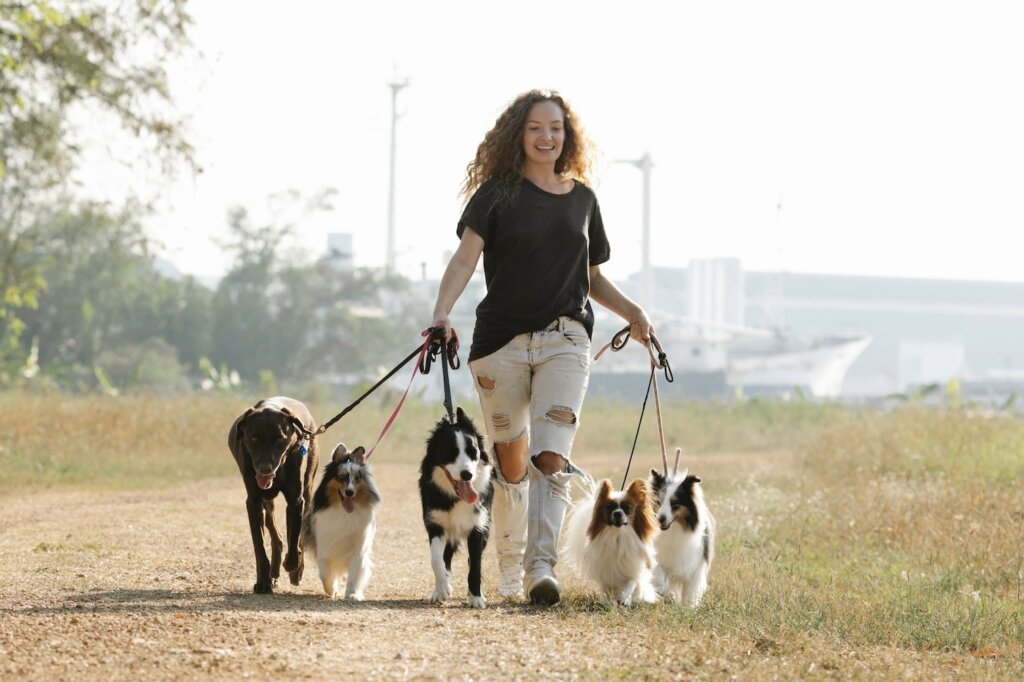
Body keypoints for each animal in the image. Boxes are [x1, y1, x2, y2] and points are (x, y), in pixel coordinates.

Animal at [229, 395, 317, 593]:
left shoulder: (296, 500)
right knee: (277, 537)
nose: (265, 469)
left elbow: (295, 538)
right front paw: (263, 582)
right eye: (253, 438)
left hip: (307, 488)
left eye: (279, 439)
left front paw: (293, 565)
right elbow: (259, 546)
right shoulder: (254, 502)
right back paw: (273, 575)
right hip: (267, 501)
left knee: (295, 534)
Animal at [303, 440, 385, 593]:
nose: (349, 492)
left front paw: (352, 594)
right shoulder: (324, 545)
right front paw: (332, 590)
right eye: (341, 477)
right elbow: (325, 573)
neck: (344, 512)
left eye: (357, 478)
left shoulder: (359, 549)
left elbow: (354, 575)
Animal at [417, 405, 493, 606]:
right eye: (450, 452)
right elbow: (437, 560)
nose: (467, 475)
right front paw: (442, 589)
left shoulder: (478, 527)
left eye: (473, 451)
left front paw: (476, 598)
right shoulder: (436, 524)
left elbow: (475, 565)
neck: (456, 497)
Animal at [651, 462, 716, 606]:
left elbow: (692, 588)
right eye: (659, 501)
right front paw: (665, 591)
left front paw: (690, 606)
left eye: (674, 503)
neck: (674, 529)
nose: (660, 519)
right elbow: (659, 573)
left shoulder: (696, 563)